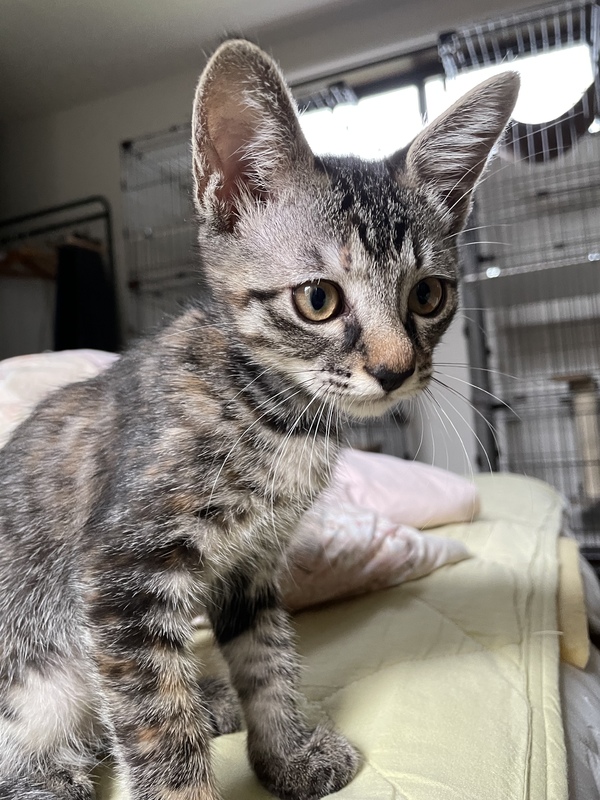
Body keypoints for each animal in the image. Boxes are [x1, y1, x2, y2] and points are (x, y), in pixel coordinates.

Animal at [0, 40, 518, 800]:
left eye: (428, 295)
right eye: (318, 300)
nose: (397, 370)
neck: (274, 414)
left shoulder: (252, 564)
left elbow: (268, 658)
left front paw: (287, 753)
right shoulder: (120, 574)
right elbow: (156, 720)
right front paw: (189, 779)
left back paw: (210, 699)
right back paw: (50, 774)